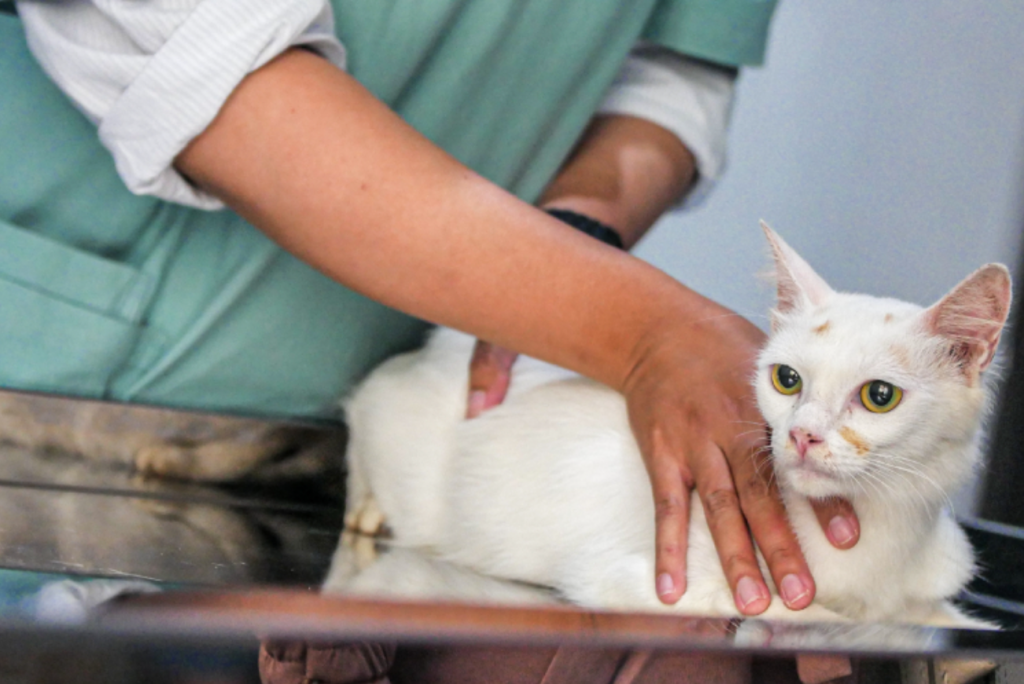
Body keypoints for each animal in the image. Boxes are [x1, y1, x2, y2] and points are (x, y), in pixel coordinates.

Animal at [327, 227, 1007, 626]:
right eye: (787, 380)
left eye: (879, 396)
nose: (802, 435)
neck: (880, 542)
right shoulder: (652, 584)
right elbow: (820, 616)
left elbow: (925, 616)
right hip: (391, 424)